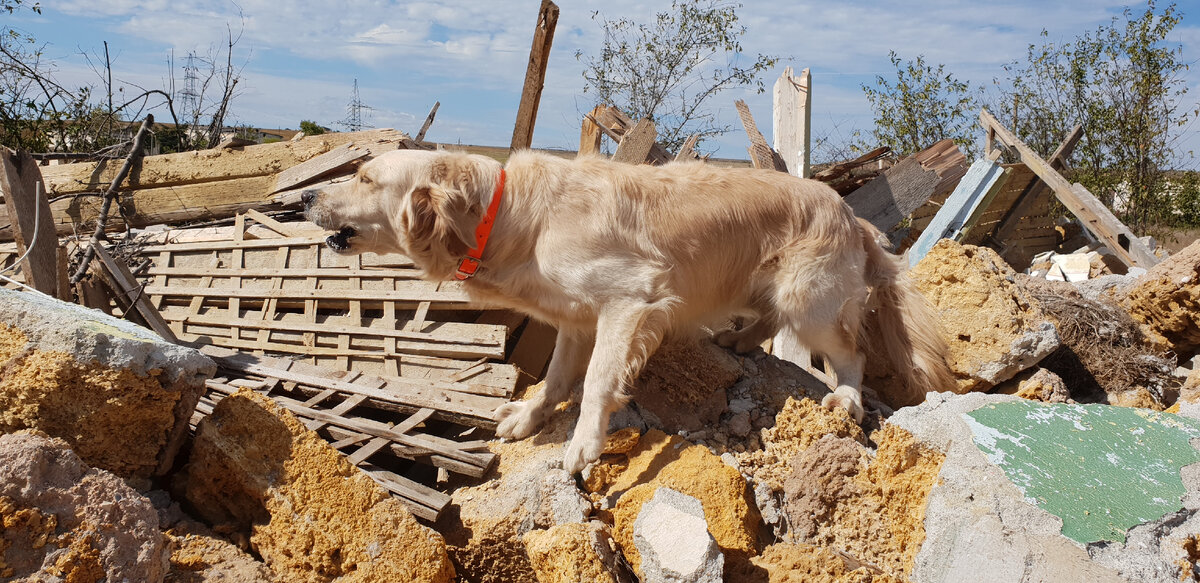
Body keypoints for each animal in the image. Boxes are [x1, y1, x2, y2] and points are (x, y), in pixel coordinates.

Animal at [302, 146, 955, 472]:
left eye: (364, 178)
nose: (306, 197)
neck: (508, 213)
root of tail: (851, 213)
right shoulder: (573, 320)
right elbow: (556, 377)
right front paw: (529, 416)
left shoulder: (630, 299)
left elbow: (594, 382)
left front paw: (583, 444)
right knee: (770, 318)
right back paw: (742, 341)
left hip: (809, 296)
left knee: (852, 351)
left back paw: (845, 396)